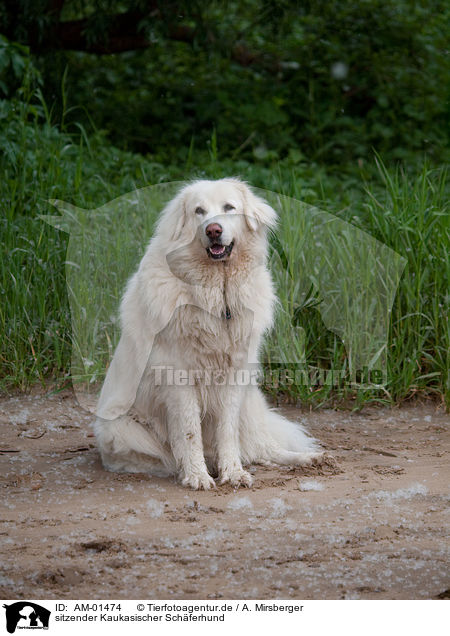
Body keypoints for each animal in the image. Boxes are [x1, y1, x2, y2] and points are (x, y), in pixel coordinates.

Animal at [94, 179, 324, 492]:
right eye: (199, 211)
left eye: (229, 208)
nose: (213, 230)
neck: (218, 291)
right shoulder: (179, 379)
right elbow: (190, 433)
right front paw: (197, 476)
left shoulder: (233, 376)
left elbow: (227, 432)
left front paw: (233, 473)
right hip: (121, 429)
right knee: (168, 454)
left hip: (250, 405)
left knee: (263, 450)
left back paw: (308, 459)